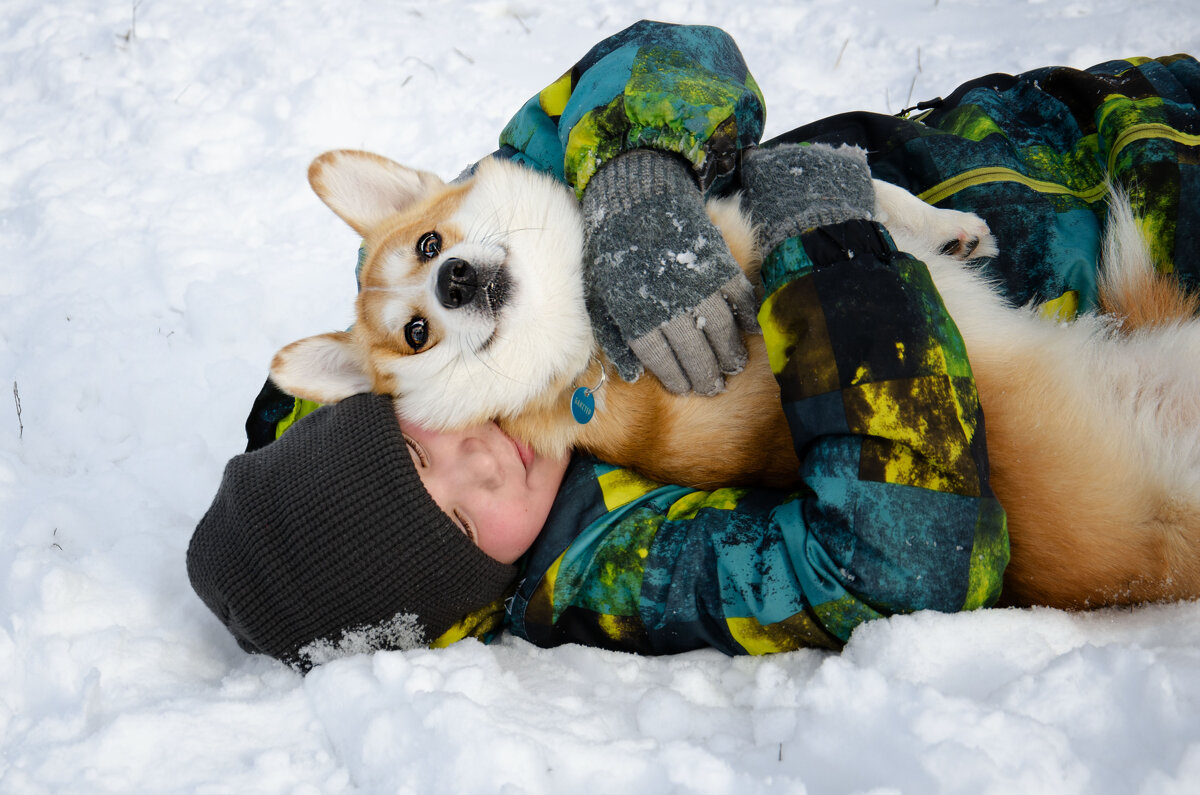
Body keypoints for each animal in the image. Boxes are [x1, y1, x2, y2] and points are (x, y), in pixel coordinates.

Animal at [272, 151, 1200, 610]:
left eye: (429, 247)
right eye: (417, 334)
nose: (456, 281)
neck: (583, 331)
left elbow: (885, 195)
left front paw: (952, 225)